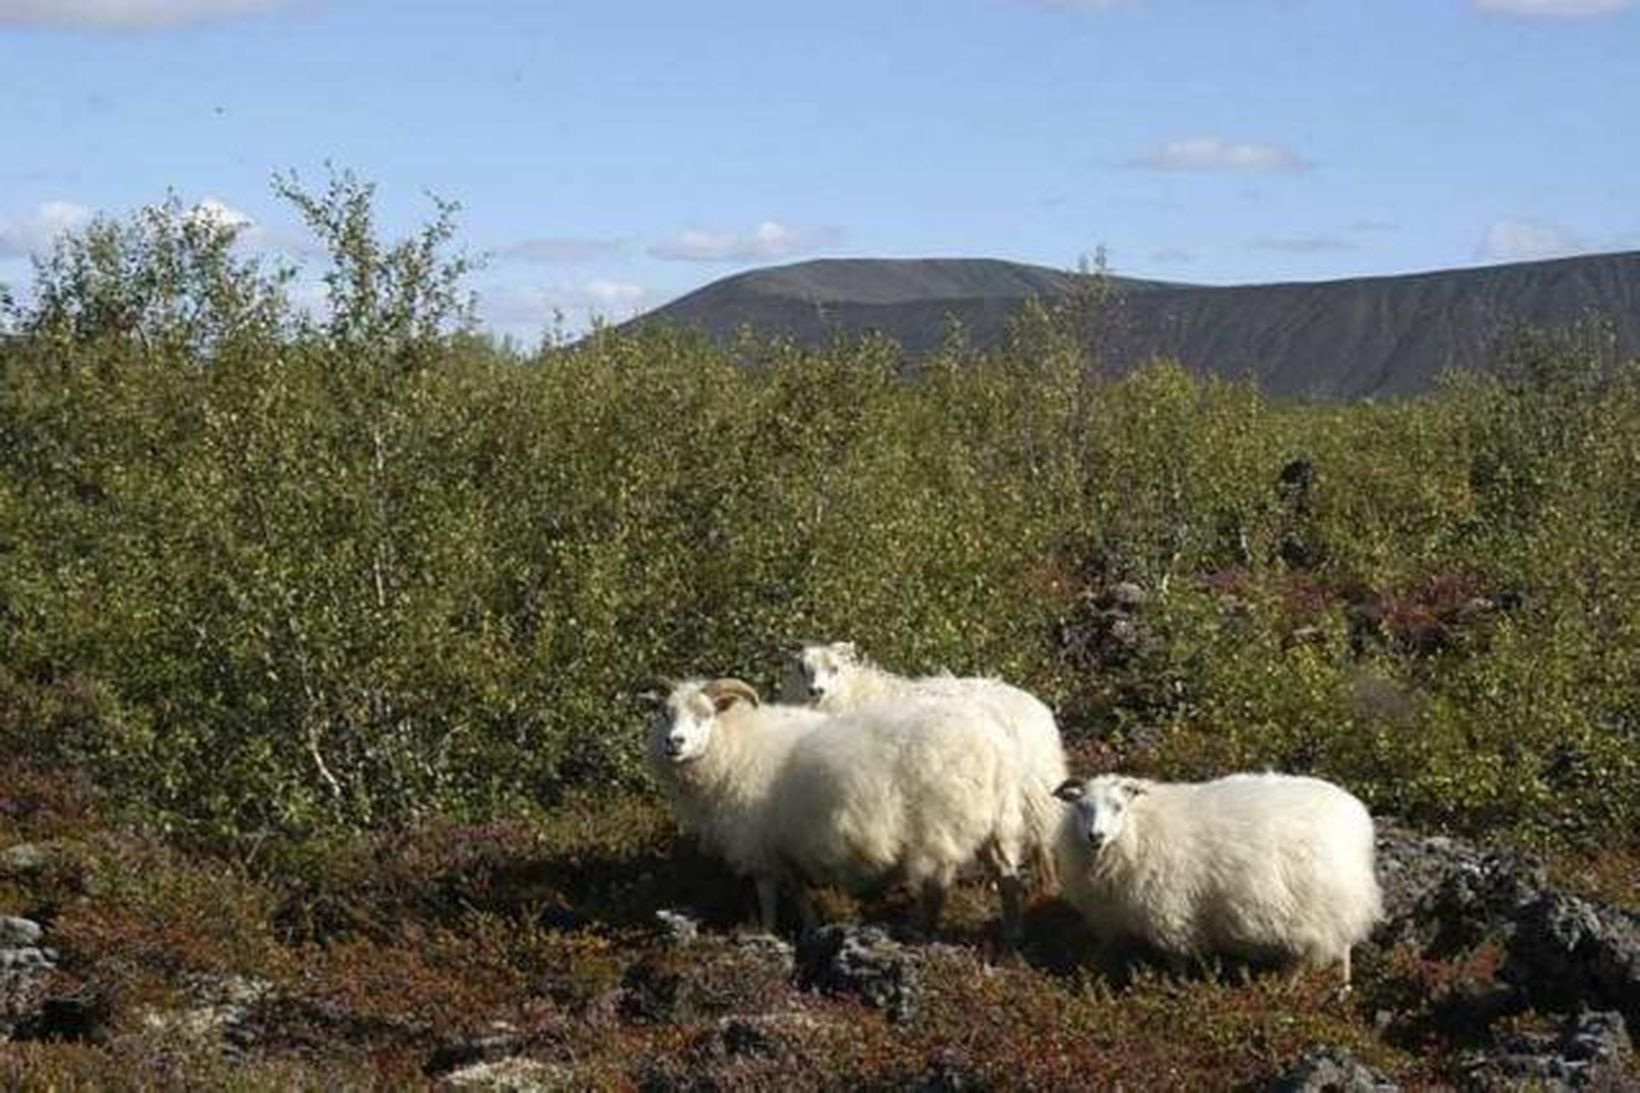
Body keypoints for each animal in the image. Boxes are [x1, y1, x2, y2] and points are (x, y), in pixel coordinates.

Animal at [649, 672, 1023, 938]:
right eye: (666, 714)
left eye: (705, 715)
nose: (673, 743)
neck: (735, 745)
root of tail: (995, 746)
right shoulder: (787, 845)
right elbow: (799, 892)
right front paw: (810, 929)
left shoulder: (759, 845)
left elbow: (767, 896)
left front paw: (765, 932)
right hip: (995, 828)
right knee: (1007, 878)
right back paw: (1009, 936)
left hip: (938, 827)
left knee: (936, 888)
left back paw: (918, 933)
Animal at [783, 640, 1069, 886]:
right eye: (801, 668)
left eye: (835, 668)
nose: (815, 691)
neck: (851, 695)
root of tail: (1039, 710)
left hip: (1030, 788)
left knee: (1042, 838)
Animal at [1049, 764, 1384, 984]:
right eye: (1081, 807)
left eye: (1118, 806)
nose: (1096, 835)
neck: (1138, 830)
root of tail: (1359, 819)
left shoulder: (1169, 913)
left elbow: (1176, 959)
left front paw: (1176, 986)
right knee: (1341, 948)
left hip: (1319, 907)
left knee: (1313, 953)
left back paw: (1291, 988)